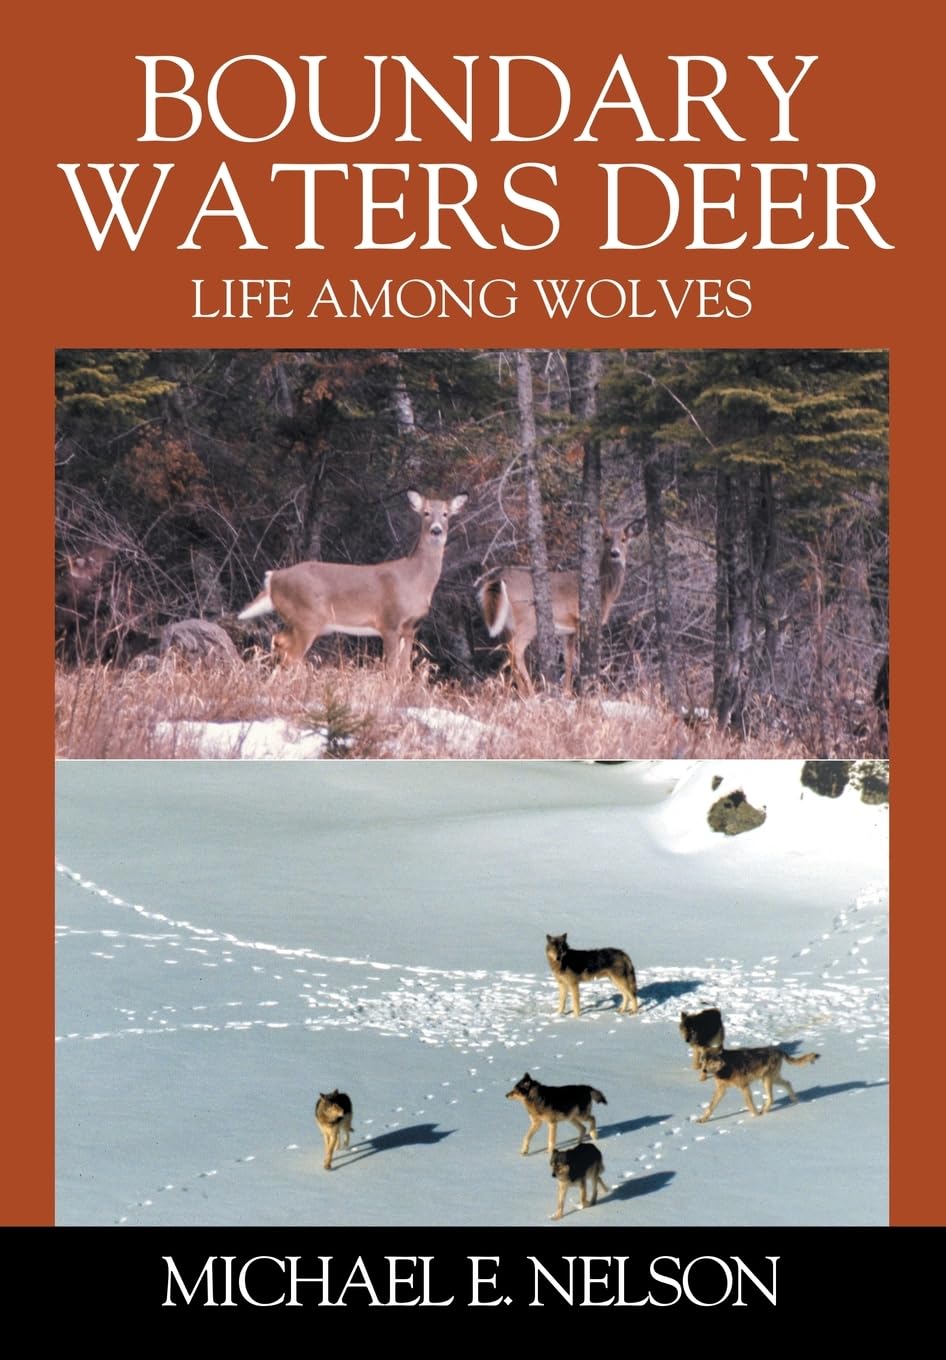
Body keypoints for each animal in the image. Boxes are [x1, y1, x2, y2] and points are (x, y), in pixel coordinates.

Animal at [238, 490, 468, 675]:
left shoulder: (411, 628)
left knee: (280, 642)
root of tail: (273, 578)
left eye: (446, 514)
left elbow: (404, 672)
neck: (415, 580)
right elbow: (391, 670)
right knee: (291, 654)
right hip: (307, 618)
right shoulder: (389, 622)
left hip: (301, 621)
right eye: (426, 513)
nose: (436, 530)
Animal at [478, 518, 637, 695]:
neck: (604, 591)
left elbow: (568, 659)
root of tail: (501, 580)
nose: (615, 553)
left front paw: (566, 692)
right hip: (527, 620)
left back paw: (522, 692)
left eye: (624, 539)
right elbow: (577, 658)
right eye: (606, 539)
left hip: (508, 625)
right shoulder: (582, 621)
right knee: (516, 650)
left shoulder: (568, 630)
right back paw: (531, 692)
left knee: (507, 651)